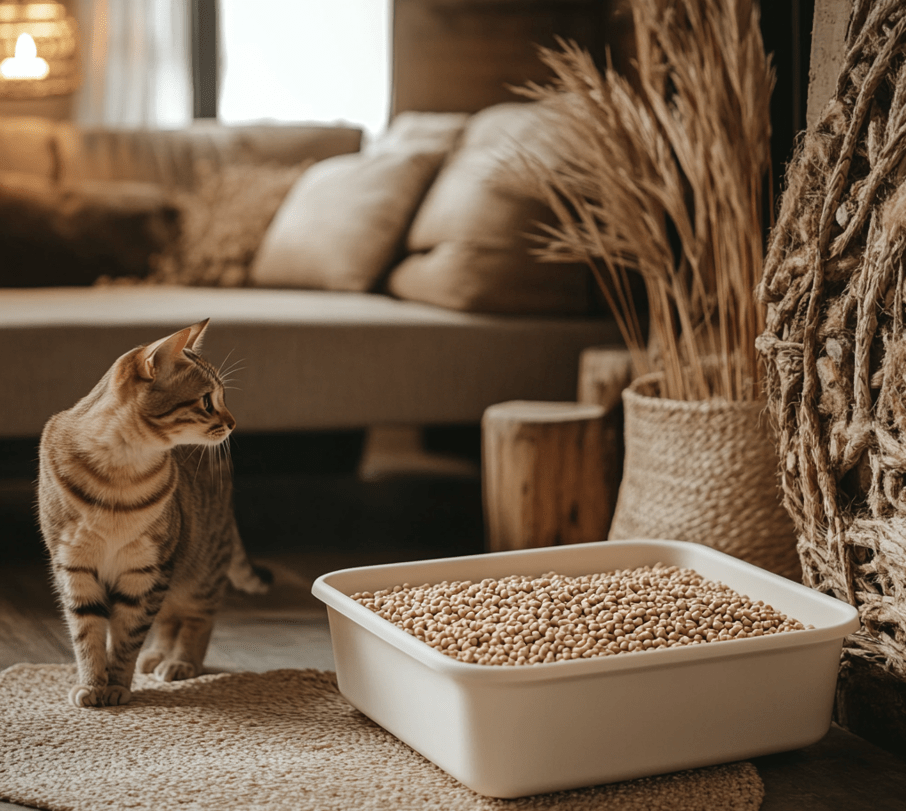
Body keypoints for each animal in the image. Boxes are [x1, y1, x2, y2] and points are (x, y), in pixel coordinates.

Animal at [38, 320, 264, 708]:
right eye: (208, 400)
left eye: (223, 397)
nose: (233, 423)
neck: (120, 472)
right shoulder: (74, 566)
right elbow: (87, 633)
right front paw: (92, 683)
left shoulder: (146, 569)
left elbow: (127, 635)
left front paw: (116, 686)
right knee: (168, 619)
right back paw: (157, 655)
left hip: (198, 570)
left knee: (196, 620)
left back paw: (180, 662)